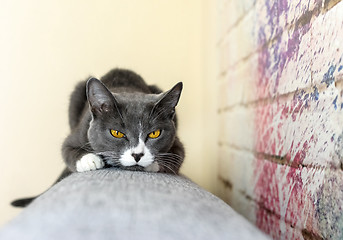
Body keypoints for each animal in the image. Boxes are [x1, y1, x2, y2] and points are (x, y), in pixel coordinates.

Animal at [11, 68, 185, 207]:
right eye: (116, 133)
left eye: (155, 133)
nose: (137, 155)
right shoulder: (80, 131)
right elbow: (66, 149)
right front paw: (90, 160)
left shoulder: (177, 143)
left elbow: (176, 157)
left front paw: (153, 163)